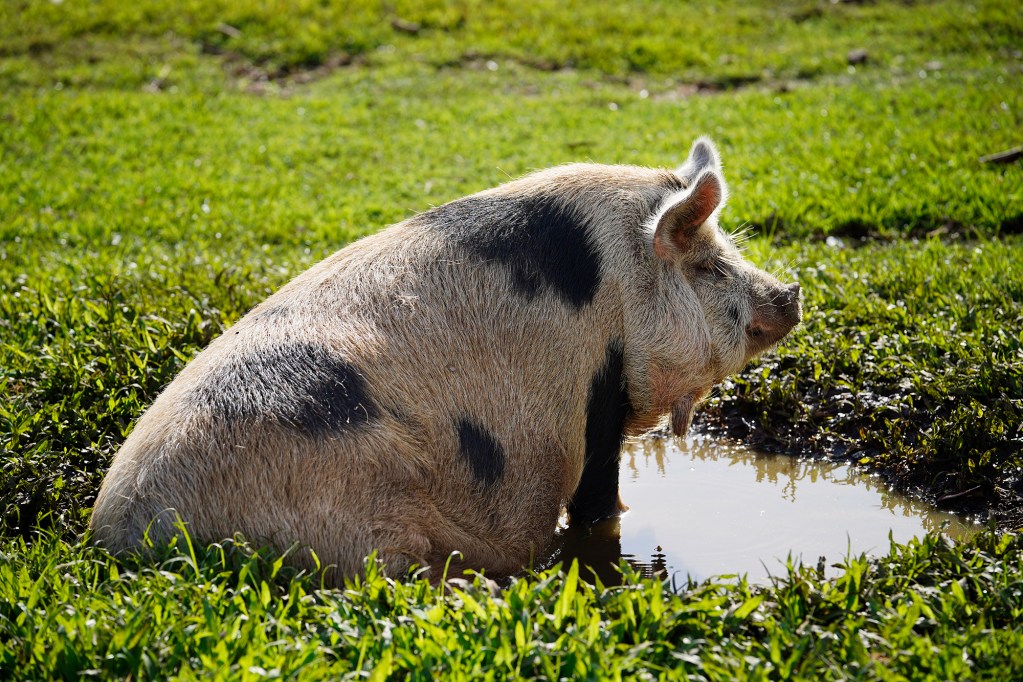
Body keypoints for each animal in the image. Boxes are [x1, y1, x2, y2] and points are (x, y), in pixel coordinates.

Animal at [90, 138, 801, 584]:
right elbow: (598, 500)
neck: (623, 281)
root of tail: (121, 538)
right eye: (707, 265)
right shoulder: (598, 396)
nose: (790, 295)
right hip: (357, 515)